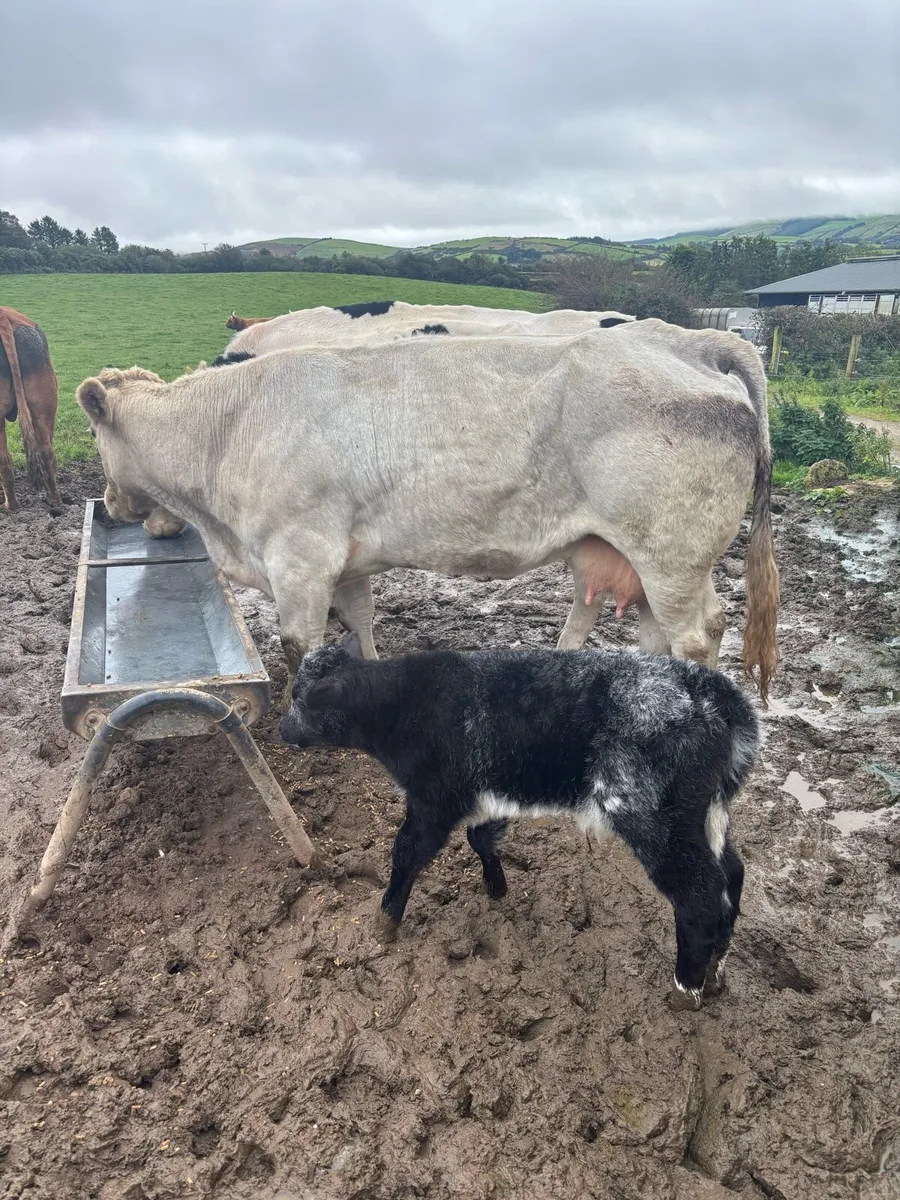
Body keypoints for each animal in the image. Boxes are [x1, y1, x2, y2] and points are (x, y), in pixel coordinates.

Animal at [76, 319, 779, 713]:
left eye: (93, 434)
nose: (112, 504)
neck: (228, 428)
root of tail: (687, 340)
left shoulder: (299, 558)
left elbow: (300, 647)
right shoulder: (345, 559)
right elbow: (359, 621)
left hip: (672, 551)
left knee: (698, 632)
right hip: (637, 552)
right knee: (654, 630)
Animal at [280, 634, 760, 1010]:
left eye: (300, 700)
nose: (283, 732)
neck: (403, 706)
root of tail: (714, 689)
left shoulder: (434, 798)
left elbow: (407, 853)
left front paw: (385, 920)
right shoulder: (490, 796)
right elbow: (482, 838)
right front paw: (497, 888)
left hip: (646, 812)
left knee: (699, 892)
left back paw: (685, 989)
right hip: (707, 814)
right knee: (730, 874)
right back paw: (715, 970)